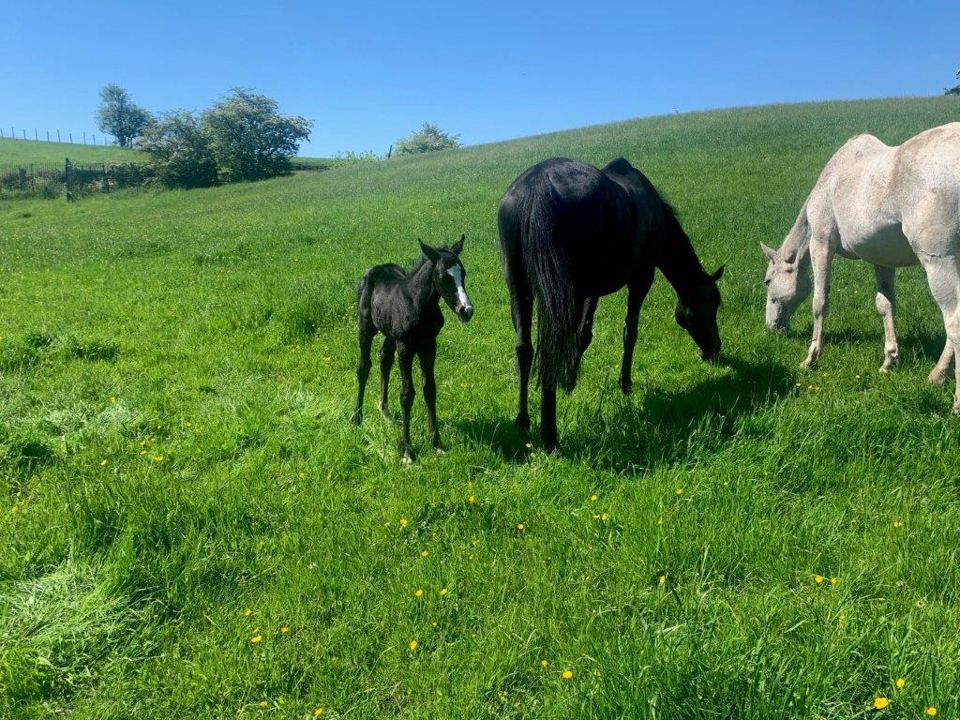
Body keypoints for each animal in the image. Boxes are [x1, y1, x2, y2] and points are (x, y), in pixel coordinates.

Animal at [353, 235, 474, 464]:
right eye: (443, 276)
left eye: (463, 273)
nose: (466, 311)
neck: (418, 305)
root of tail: (376, 268)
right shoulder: (405, 347)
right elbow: (407, 394)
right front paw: (407, 452)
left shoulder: (429, 345)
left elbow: (430, 389)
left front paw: (436, 444)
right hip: (366, 326)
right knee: (363, 367)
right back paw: (356, 418)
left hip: (390, 334)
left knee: (384, 359)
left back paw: (384, 409)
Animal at [498, 157, 724, 451]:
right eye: (713, 304)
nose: (714, 349)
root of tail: (537, 186)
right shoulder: (641, 279)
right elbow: (630, 332)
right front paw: (624, 383)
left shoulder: (591, 291)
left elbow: (583, 334)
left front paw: (569, 380)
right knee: (551, 349)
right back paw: (550, 436)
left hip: (519, 287)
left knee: (524, 348)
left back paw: (523, 420)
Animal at [761, 123, 960, 412]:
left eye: (767, 281)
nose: (772, 327)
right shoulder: (883, 259)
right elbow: (885, 305)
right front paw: (889, 360)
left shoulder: (822, 243)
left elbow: (820, 302)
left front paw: (811, 358)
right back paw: (936, 375)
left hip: (939, 262)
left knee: (954, 322)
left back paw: (955, 400)